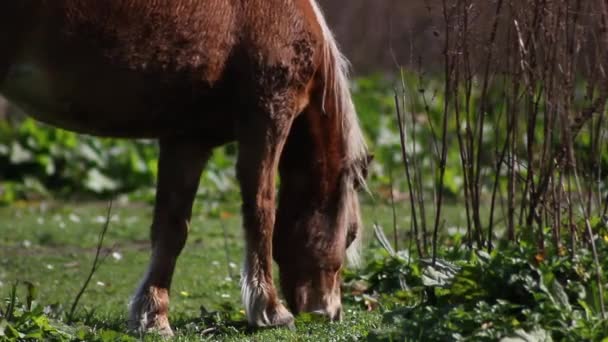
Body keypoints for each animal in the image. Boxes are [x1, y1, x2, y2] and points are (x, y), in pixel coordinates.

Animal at [0, 0, 368, 336]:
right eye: (350, 235)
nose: (330, 312)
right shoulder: (267, 119)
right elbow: (261, 212)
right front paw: (270, 310)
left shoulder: (187, 139)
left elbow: (172, 228)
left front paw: (153, 317)